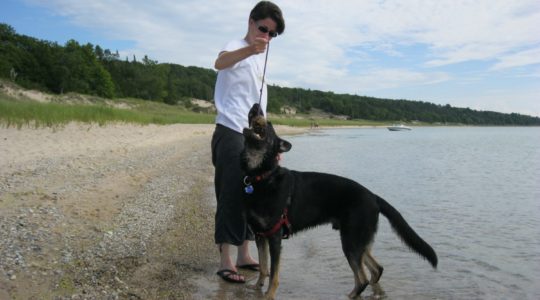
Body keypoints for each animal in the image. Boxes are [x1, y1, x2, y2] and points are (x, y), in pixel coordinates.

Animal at [242, 103, 438, 298]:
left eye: (269, 123)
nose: (255, 107)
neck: (262, 176)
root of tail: (373, 196)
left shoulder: (275, 237)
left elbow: (273, 274)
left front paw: (268, 295)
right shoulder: (260, 235)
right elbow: (263, 267)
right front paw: (256, 288)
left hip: (351, 240)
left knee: (363, 278)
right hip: (357, 240)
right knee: (376, 269)